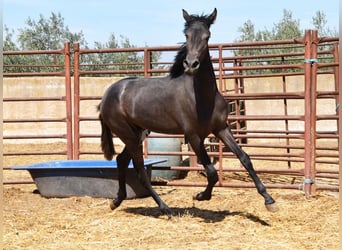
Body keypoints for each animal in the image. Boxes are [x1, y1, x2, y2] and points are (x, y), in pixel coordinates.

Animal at [97, 9, 278, 217]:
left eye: (207, 36)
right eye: (187, 35)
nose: (191, 64)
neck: (202, 97)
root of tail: (107, 95)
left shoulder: (221, 129)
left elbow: (245, 159)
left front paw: (269, 200)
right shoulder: (193, 136)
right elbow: (211, 172)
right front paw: (201, 196)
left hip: (137, 134)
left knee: (121, 160)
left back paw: (116, 201)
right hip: (129, 136)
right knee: (140, 172)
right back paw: (165, 208)